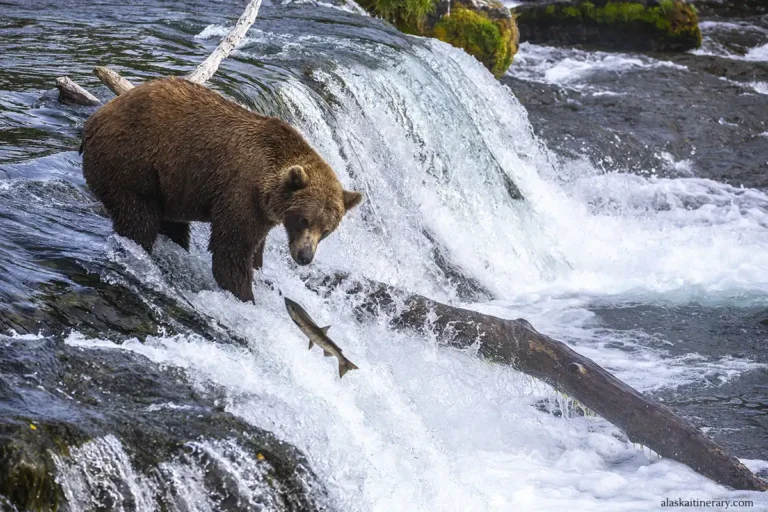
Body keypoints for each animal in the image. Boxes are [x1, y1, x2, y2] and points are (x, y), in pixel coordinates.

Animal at [80, 77, 363, 303]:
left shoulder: (262, 213)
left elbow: (255, 248)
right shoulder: (240, 192)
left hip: (169, 185)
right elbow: (231, 252)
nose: (305, 256)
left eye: (326, 230)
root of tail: (96, 117)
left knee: (171, 224)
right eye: (304, 219)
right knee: (139, 219)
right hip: (130, 163)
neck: (266, 188)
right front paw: (245, 295)